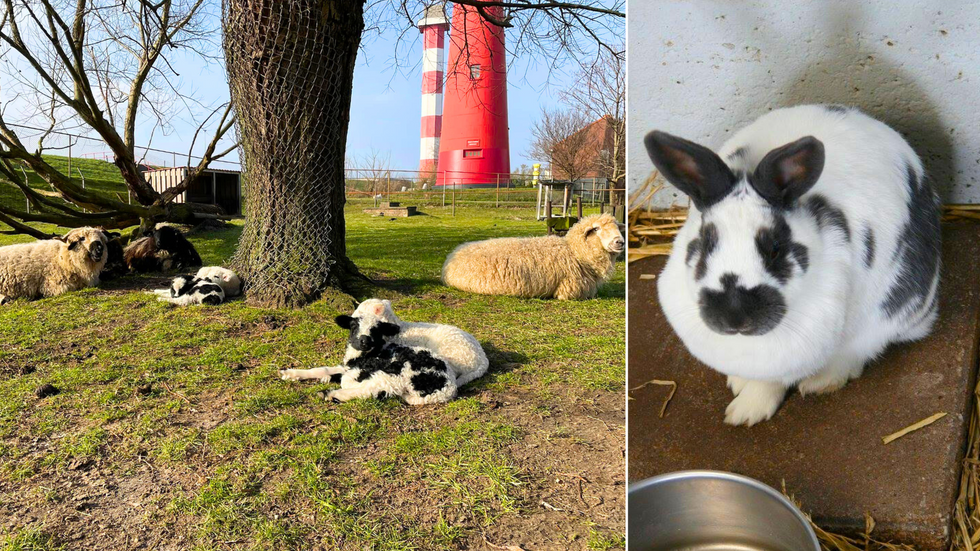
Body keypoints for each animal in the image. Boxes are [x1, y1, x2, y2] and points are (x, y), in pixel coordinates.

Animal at [442, 212, 624, 302]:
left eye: (617, 226)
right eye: (596, 229)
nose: (620, 242)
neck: (575, 252)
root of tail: (452, 255)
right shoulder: (569, 292)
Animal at [644, 105, 940, 430]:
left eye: (775, 248)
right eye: (706, 244)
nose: (736, 317)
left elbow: (771, 381)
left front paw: (745, 413)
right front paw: (743, 398)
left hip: (893, 308)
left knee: (863, 346)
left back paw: (821, 382)